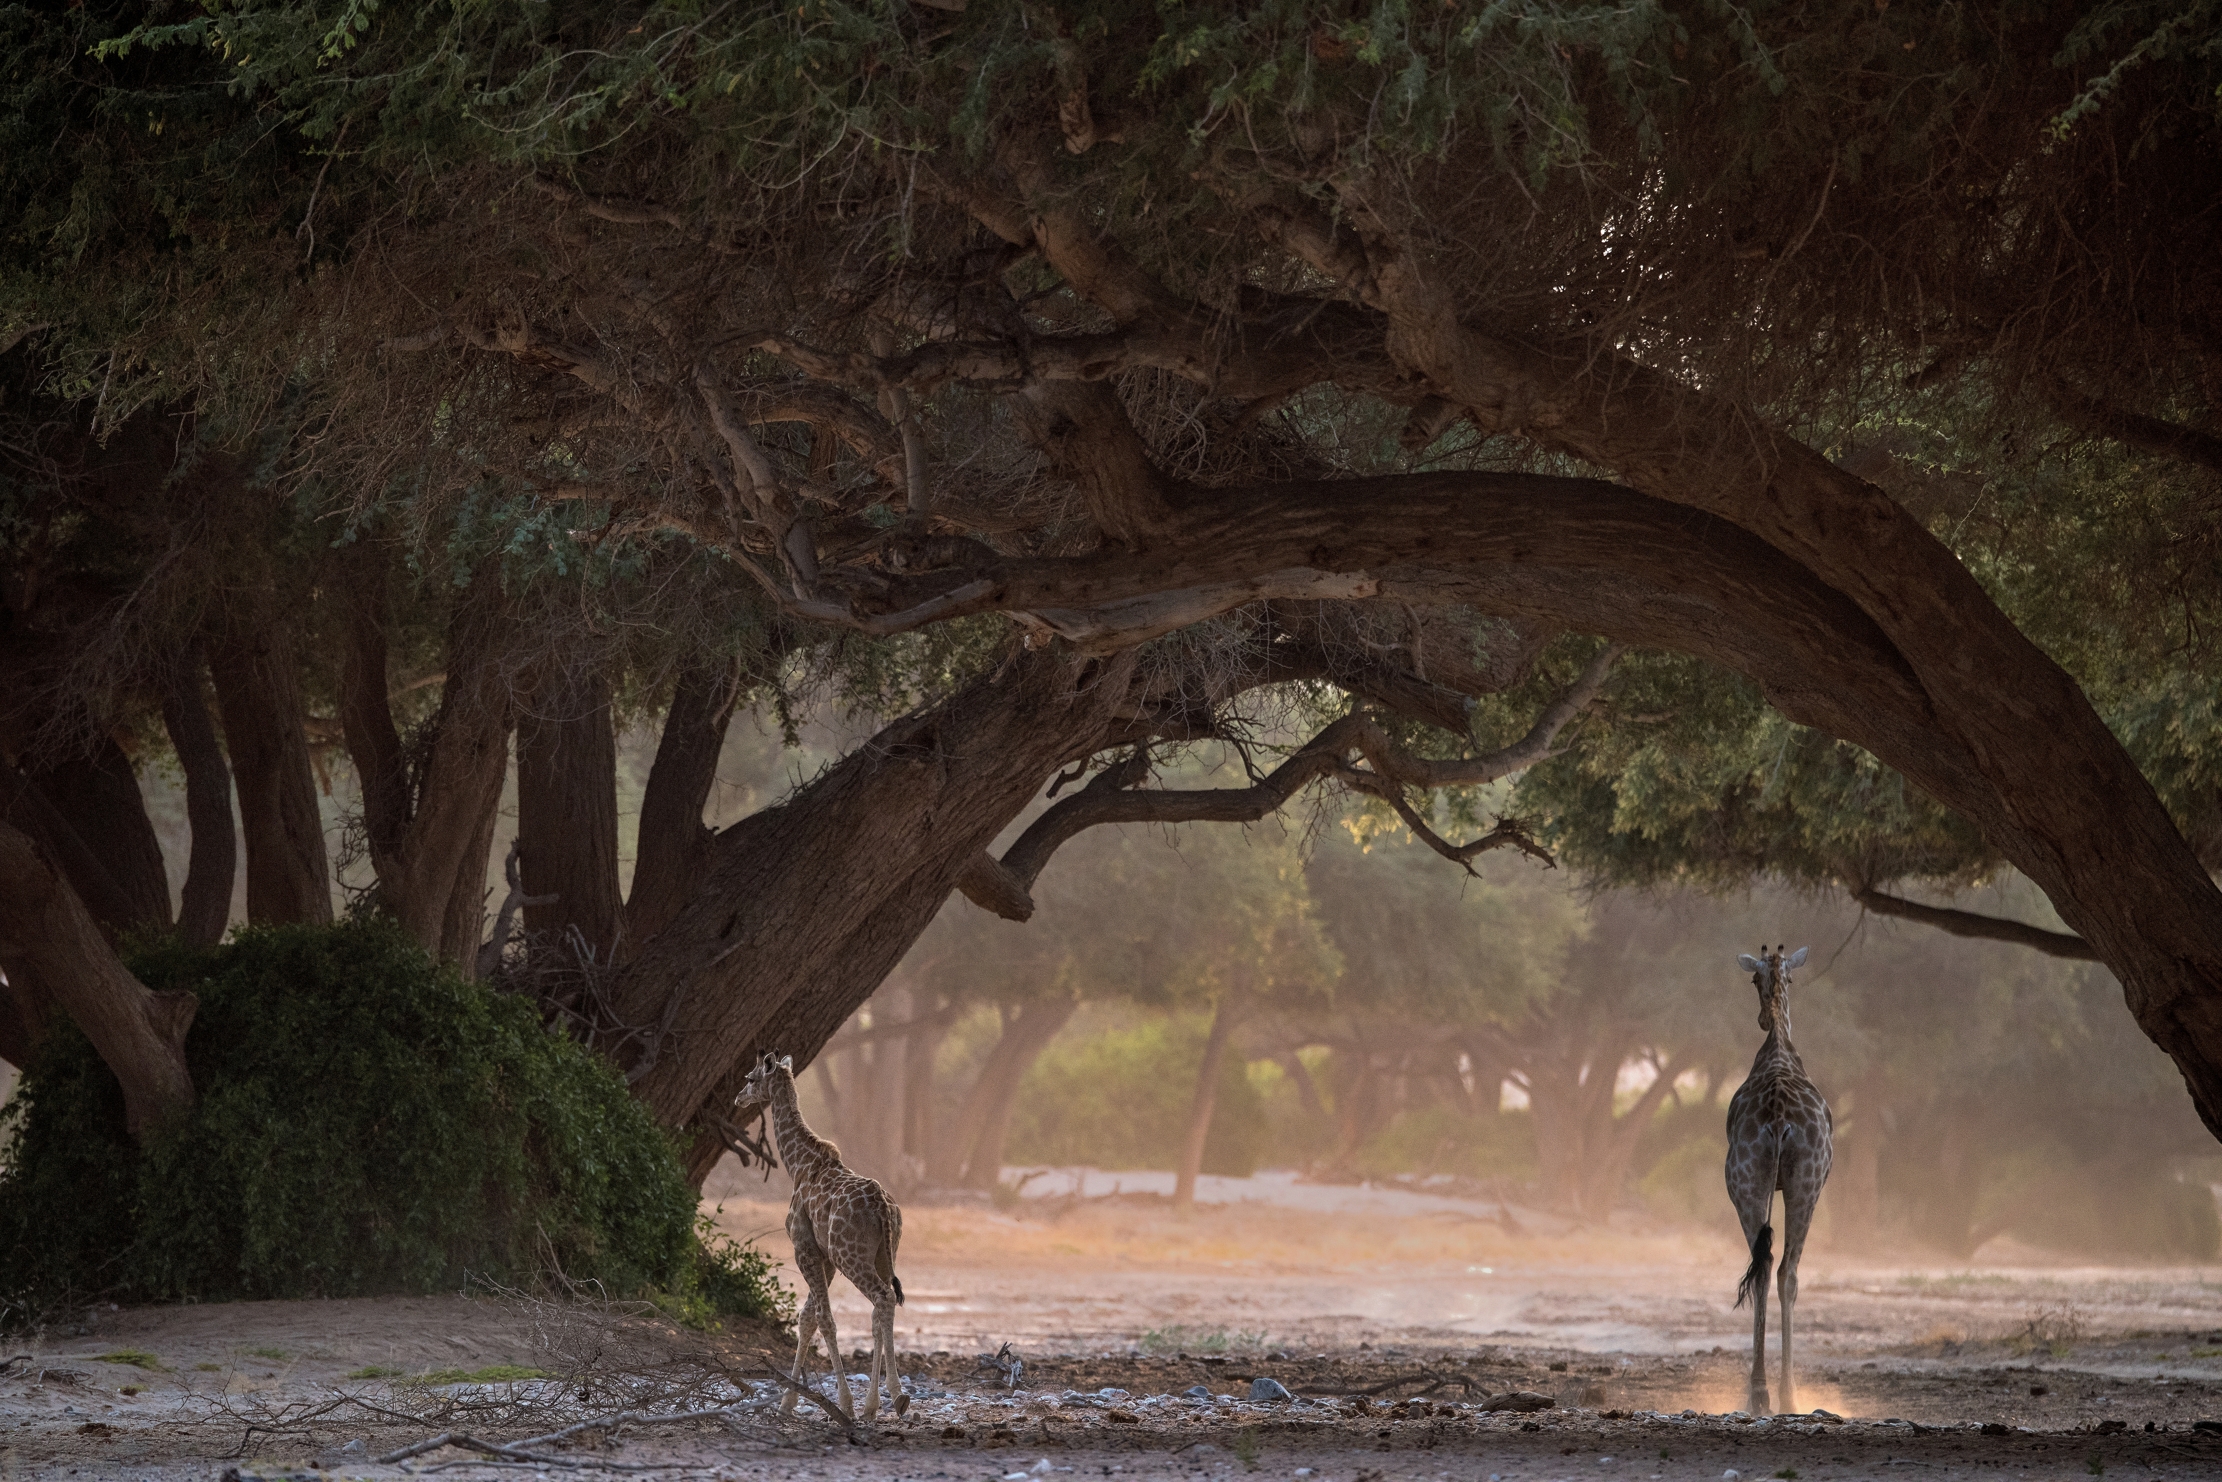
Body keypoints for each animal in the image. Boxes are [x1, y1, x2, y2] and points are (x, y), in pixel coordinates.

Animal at [735, 1053, 907, 1421]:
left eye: (751, 1078)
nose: (739, 1098)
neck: (798, 1165)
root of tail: (883, 1209)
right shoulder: (824, 1255)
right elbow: (807, 1318)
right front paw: (788, 1401)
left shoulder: (803, 1246)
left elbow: (824, 1319)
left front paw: (843, 1403)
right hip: (884, 1255)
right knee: (880, 1309)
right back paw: (879, 1403)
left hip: (852, 1256)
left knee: (882, 1298)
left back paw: (891, 1397)